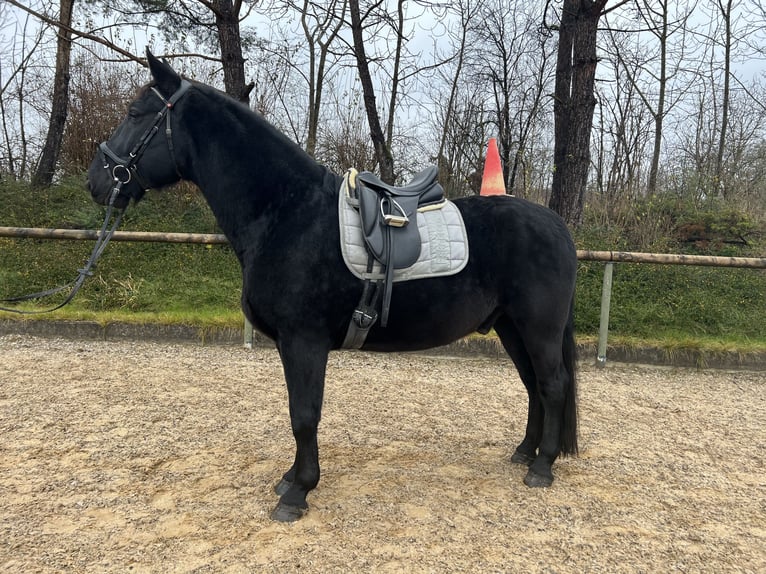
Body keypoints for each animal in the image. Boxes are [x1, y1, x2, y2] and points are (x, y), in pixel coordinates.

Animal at [87, 51, 580, 524]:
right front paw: (290, 479)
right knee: (533, 385)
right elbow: (297, 412)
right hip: (510, 327)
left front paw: (298, 493)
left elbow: (304, 415)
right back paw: (525, 453)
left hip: (537, 328)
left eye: (134, 113)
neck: (286, 212)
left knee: (552, 384)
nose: (97, 179)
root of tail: (556, 225)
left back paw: (542, 467)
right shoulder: (291, 344)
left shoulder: (304, 340)